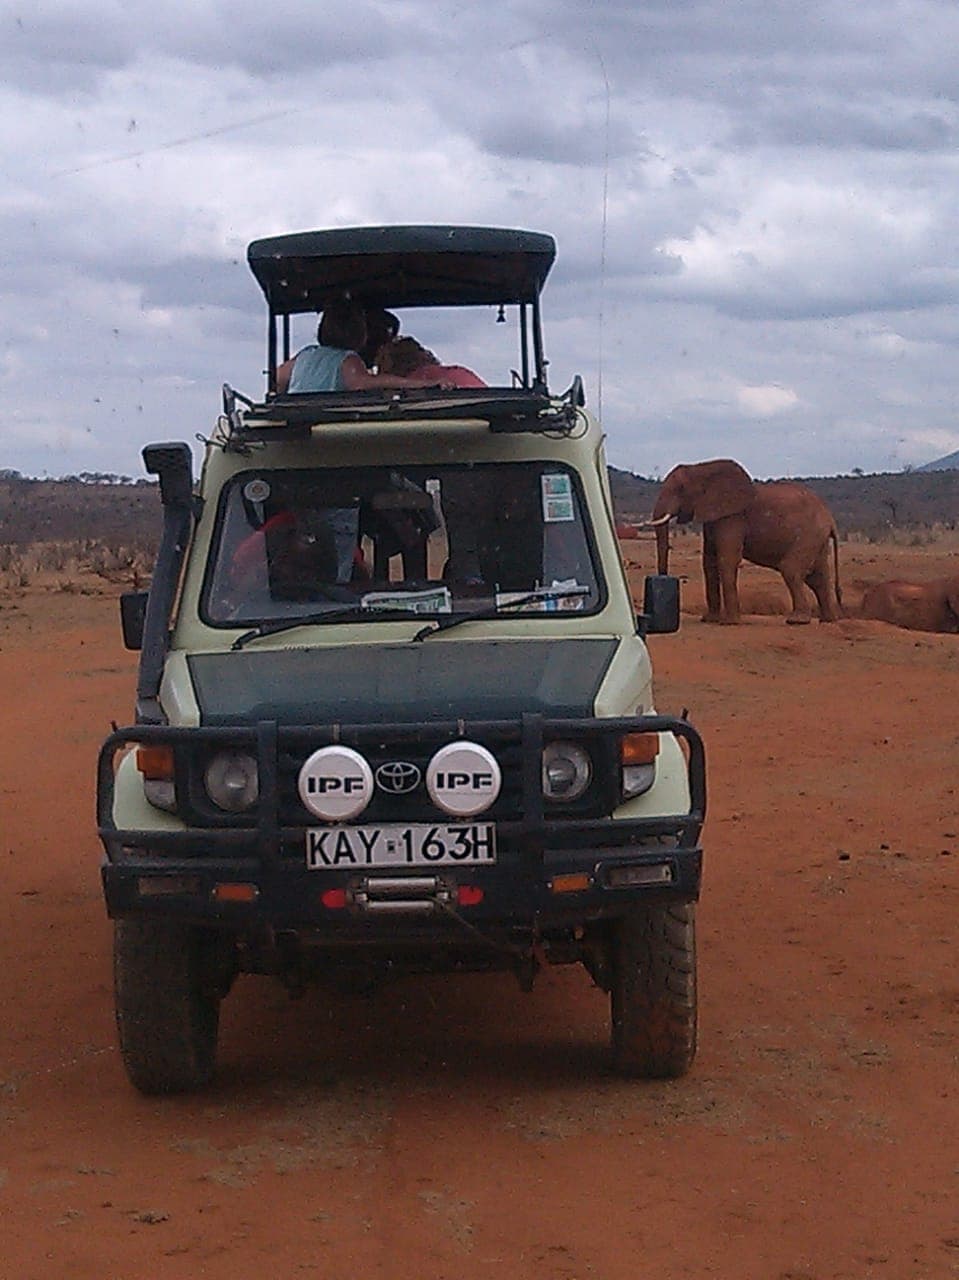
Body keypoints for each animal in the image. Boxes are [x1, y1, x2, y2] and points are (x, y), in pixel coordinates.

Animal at [646, 458, 843, 625]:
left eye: (680, 488)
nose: (662, 581)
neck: (702, 467)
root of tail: (830, 518)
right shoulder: (714, 517)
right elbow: (709, 562)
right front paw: (709, 620)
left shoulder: (733, 517)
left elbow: (726, 560)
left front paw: (729, 622)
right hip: (817, 538)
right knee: (817, 577)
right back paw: (828, 620)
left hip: (809, 535)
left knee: (791, 569)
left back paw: (797, 621)